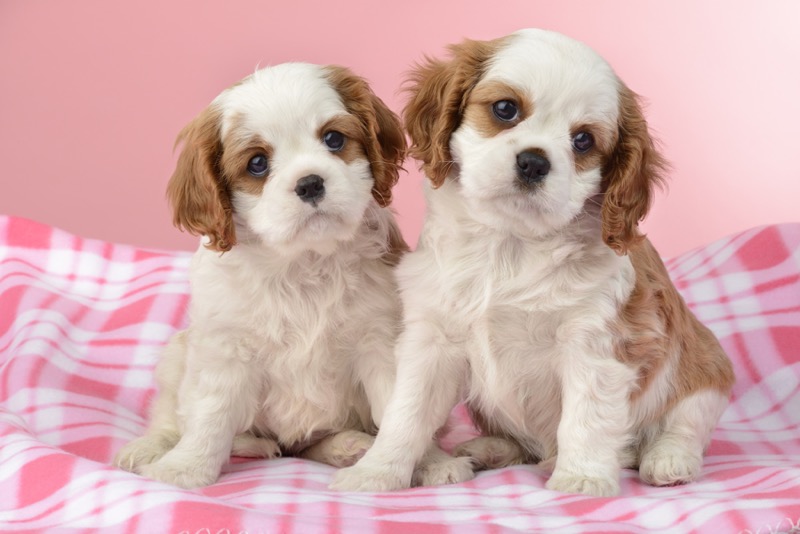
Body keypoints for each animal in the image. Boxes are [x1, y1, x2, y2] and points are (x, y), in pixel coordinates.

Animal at [112, 62, 468, 490]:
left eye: (333, 139)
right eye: (257, 163)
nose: (310, 182)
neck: (303, 261)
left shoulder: (380, 340)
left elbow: (401, 409)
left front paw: (428, 462)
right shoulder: (225, 346)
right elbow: (210, 414)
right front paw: (185, 467)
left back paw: (346, 445)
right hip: (177, 353)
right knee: (171, 414)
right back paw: (155, 447)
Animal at [332, 29, 736, 498]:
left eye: (583, 140)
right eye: (506, 109)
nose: (534, 161)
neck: (509, 245)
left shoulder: (595, 343)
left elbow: (586, 419)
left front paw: (581, 479)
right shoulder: (431, 341)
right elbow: (406, 414)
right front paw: (376, 472)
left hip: (704, 370)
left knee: (683, 426)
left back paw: (668, 460)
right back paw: (490, 448)